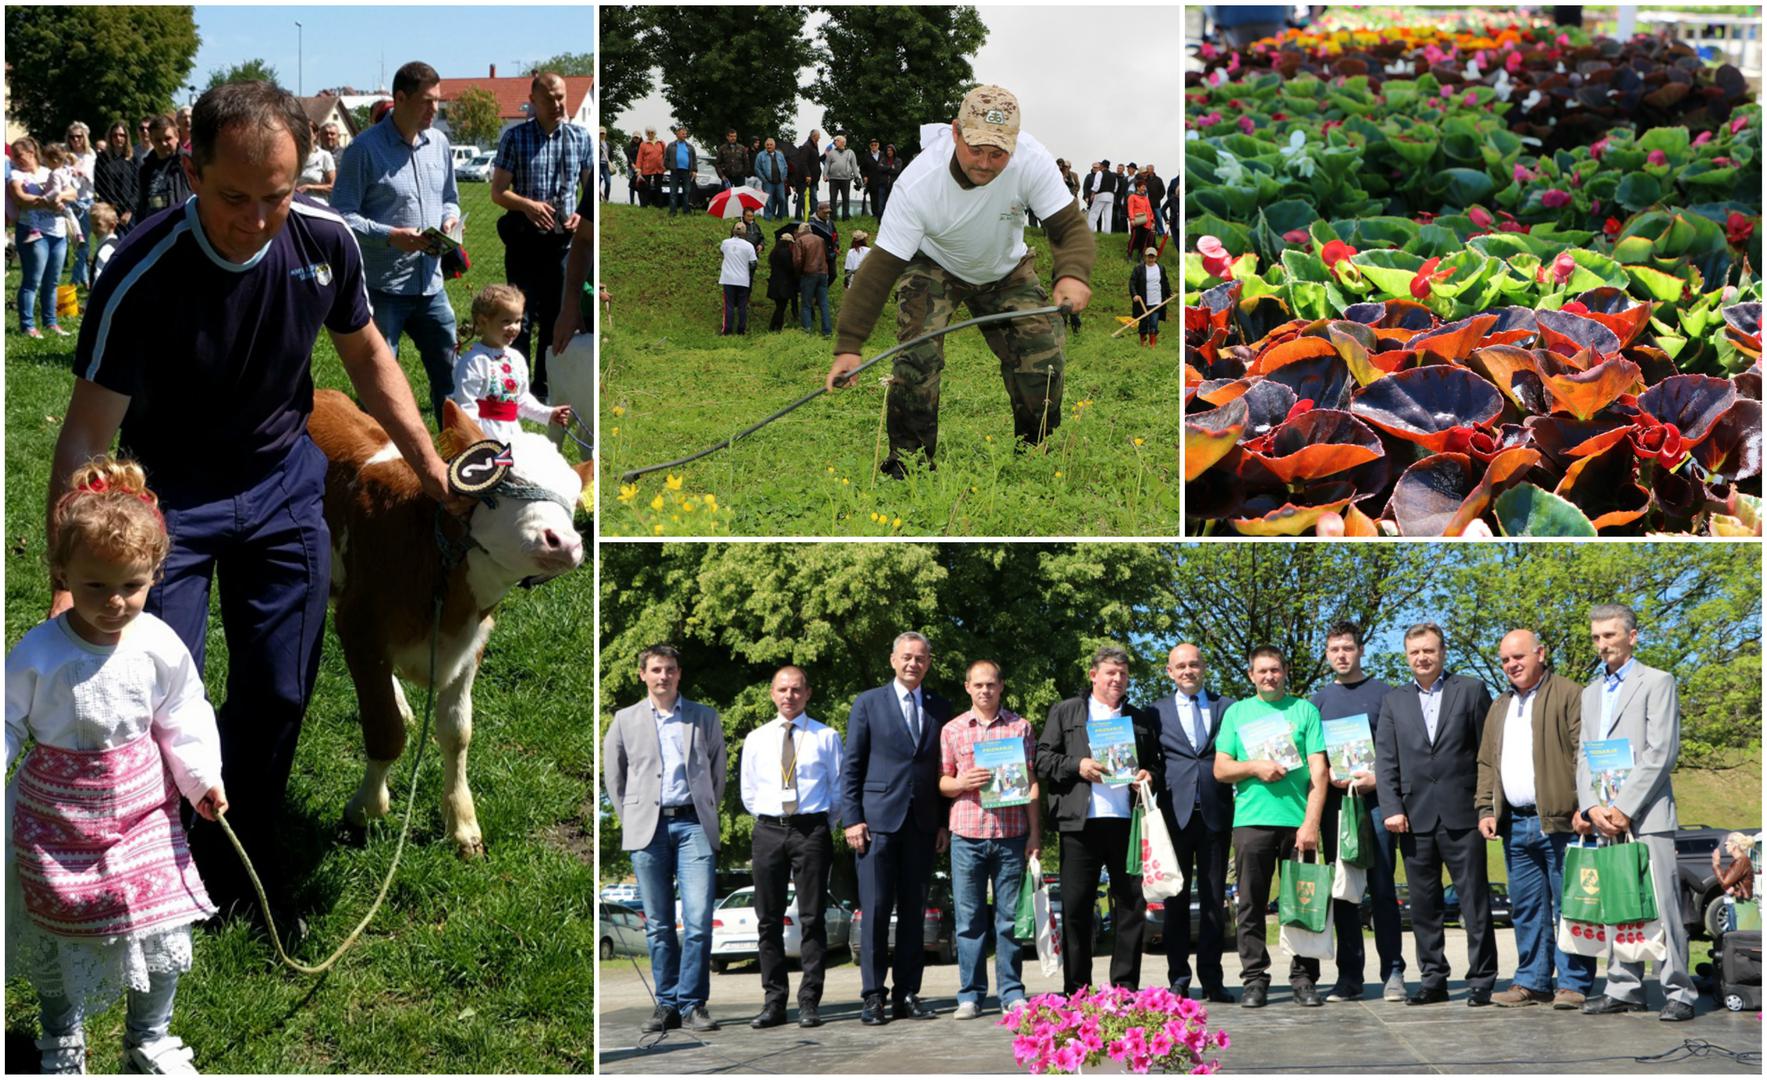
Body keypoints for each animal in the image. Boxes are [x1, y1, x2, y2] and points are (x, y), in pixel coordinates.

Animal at [307, 392, 590, 859]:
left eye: (574, 496)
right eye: (505, 482)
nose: (564, 543)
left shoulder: (473, 639)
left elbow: (457, 732)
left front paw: (462, 823)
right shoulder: (360, 626)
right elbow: (384, 732)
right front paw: (365, 808)